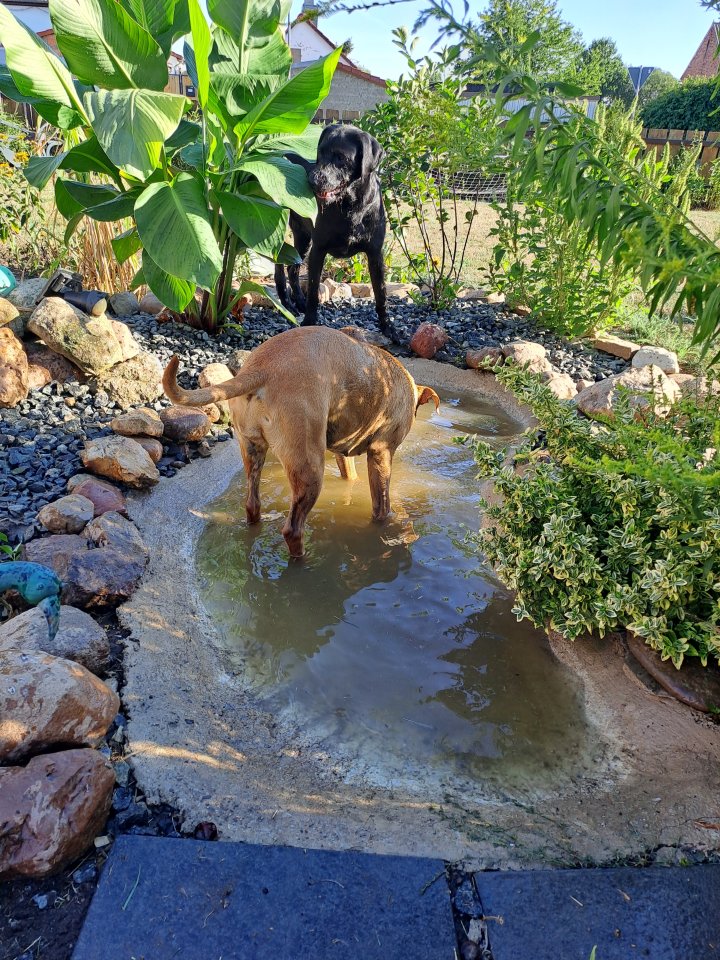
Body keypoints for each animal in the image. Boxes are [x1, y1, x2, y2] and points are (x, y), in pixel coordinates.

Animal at [163, 327, 439, 558]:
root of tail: (261, 367)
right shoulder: (381, 453)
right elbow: (382, 506)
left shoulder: (343, 453)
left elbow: (350, 477)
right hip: (309, 470)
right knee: (293, 530)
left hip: (252, 451)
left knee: (252, 505)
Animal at [274, 124, 388, 334]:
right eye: (320, 152)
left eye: (341, 157)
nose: (311, 181)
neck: (351, 206)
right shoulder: (318, 250)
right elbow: (313, 291)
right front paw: (309, 323)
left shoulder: (375, 255)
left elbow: (381, 294)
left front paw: (389, 330)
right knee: (280, 266)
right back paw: (287, 302)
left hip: (303, 238)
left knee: (292, 269)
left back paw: (298, 301)